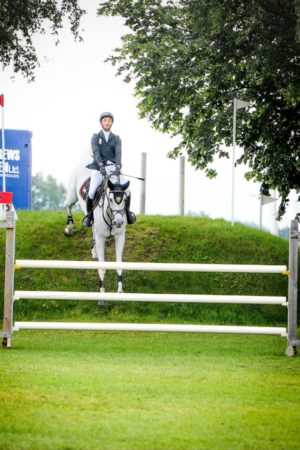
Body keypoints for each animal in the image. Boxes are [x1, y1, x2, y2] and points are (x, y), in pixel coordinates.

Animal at [64, 158, 130, 296]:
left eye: (125, 200)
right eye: (111, 199)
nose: (119, 222)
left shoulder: (120, 238)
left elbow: (119, 263)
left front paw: (120, 290)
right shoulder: (101, 239)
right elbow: (102, 266)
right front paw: (102, 291)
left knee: (92, 228)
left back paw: (93, 251)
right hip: (72, 195)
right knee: (68, 205)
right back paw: (69, 229)